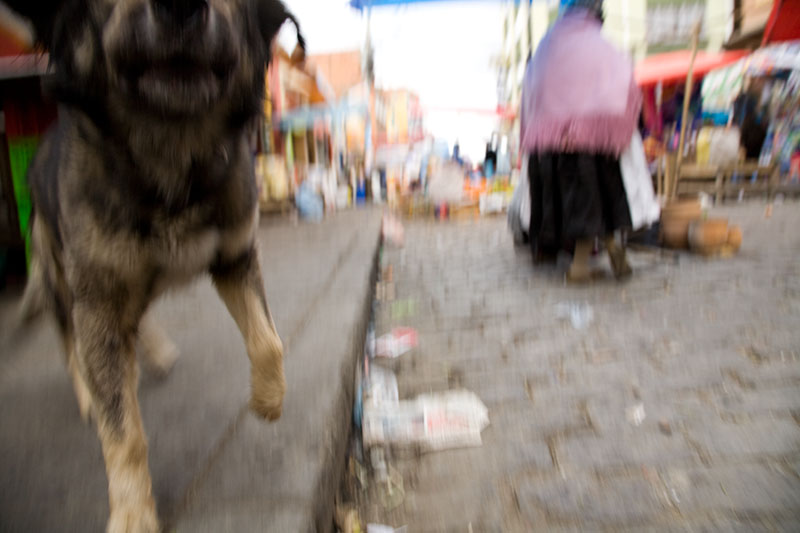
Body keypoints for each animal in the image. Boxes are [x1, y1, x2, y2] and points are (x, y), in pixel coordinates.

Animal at [4, 2, 304, 528]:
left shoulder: (235, 256)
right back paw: (92, 389)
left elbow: (268, 341)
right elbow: (122, 434)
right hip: (63, 281)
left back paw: (152, 354)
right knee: (70, 341)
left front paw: (268, 399)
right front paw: (132, 511)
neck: (170, 152)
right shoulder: (98, 299)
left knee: (134, 323)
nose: (180, 8)